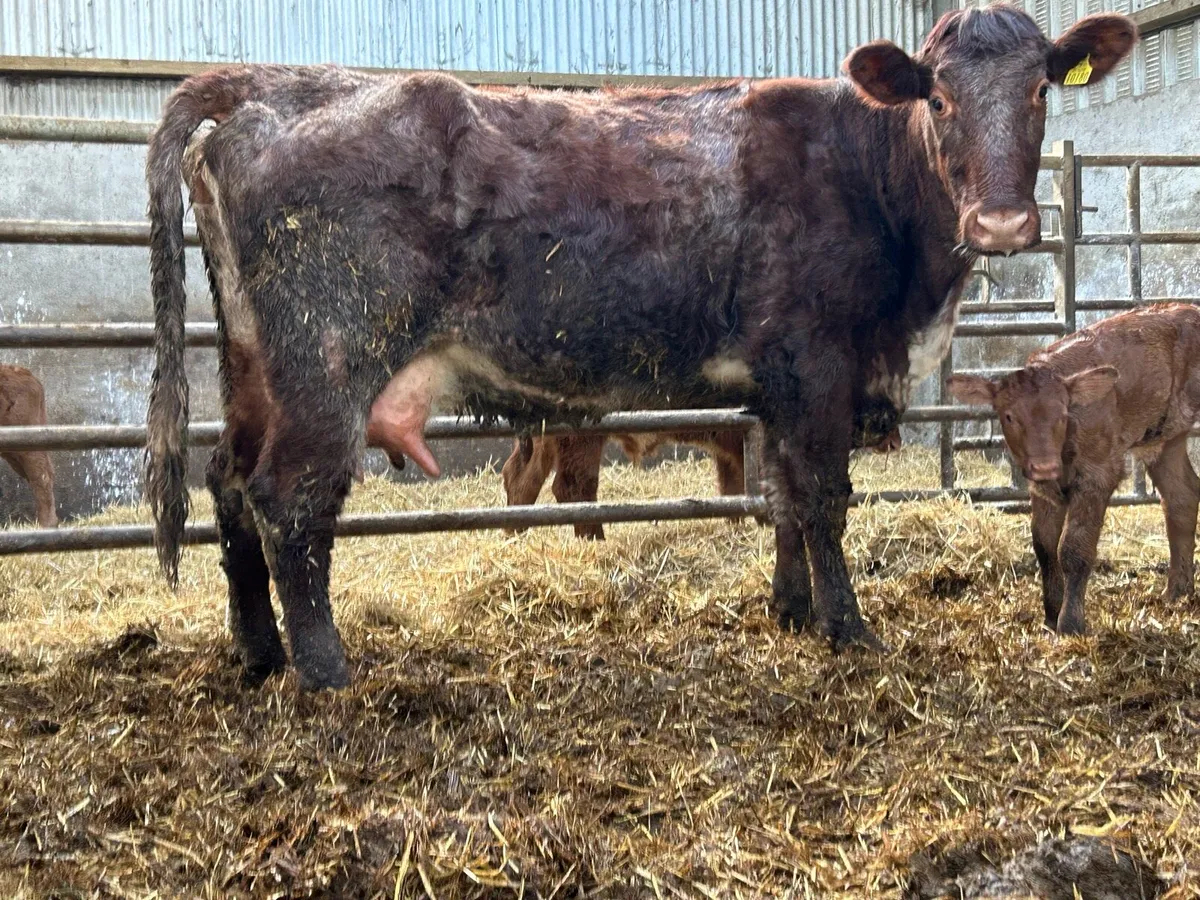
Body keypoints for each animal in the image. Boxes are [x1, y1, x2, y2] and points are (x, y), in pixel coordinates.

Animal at [144, 5, 1136, 690]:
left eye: (1042, 88)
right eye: (938, 93)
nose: (1001, 223)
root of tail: (268, 84)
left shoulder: (777, 384)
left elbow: (784, 498)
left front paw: (790, 611)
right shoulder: (817, 363)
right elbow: (823, 499)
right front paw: (848, 628)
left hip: (253, 366)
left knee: (228, 484)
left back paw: (259, 656)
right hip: (329, 361)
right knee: (288, 501)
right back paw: (325, 671)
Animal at [947, 303, 1200, 636]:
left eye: (1062, 413)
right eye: (1009, 416)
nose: (1044, 465)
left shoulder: (1097, 475)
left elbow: (1074, 549)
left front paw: (1070, 623)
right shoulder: (1043, 487)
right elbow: (1043, 545)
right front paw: (1051, 614)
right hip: (1166, 439)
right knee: (1181, 498)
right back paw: (1177, 593)